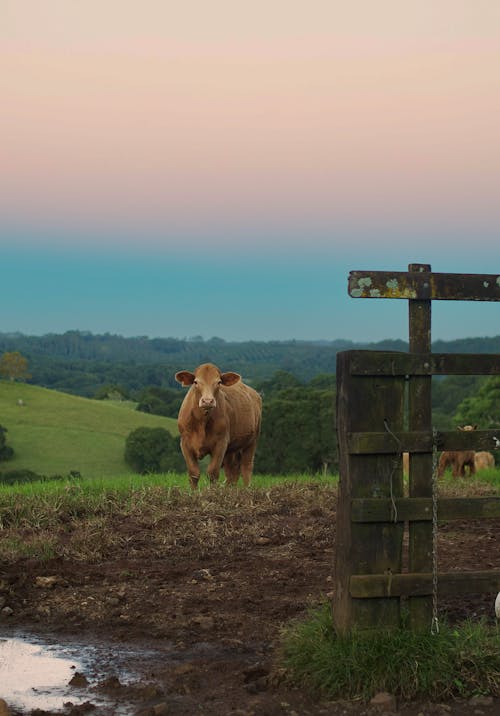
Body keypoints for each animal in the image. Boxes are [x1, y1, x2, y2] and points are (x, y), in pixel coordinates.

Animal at [175, 360, 262, 490]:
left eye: (219, 382)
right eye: (195, 382)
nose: (207, 401)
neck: (202, 421)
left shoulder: (221, 443)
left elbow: (212, 473)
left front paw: (213, 492)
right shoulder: (185, 442)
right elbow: (194, 473)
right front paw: (193, 492)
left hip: (251, 441)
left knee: (246, 467)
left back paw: (247, 489)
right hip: (232, 449)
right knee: (232, 471)